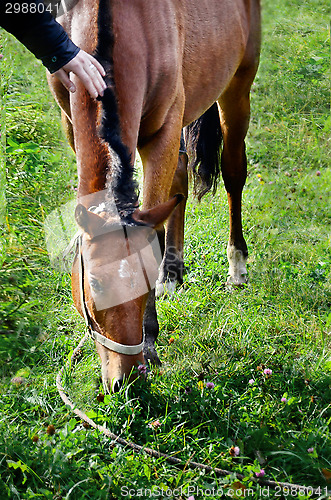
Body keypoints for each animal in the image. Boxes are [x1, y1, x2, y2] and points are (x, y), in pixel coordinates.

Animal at [48, 0, 262, 390]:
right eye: (95, 284)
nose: (126, 380)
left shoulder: (162, 130)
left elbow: (154, 231)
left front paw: (149, 341)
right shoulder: (69, 123)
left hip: (237, 85)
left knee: (233, 172)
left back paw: (236, 265)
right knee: (178, 180)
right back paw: (174, 273)